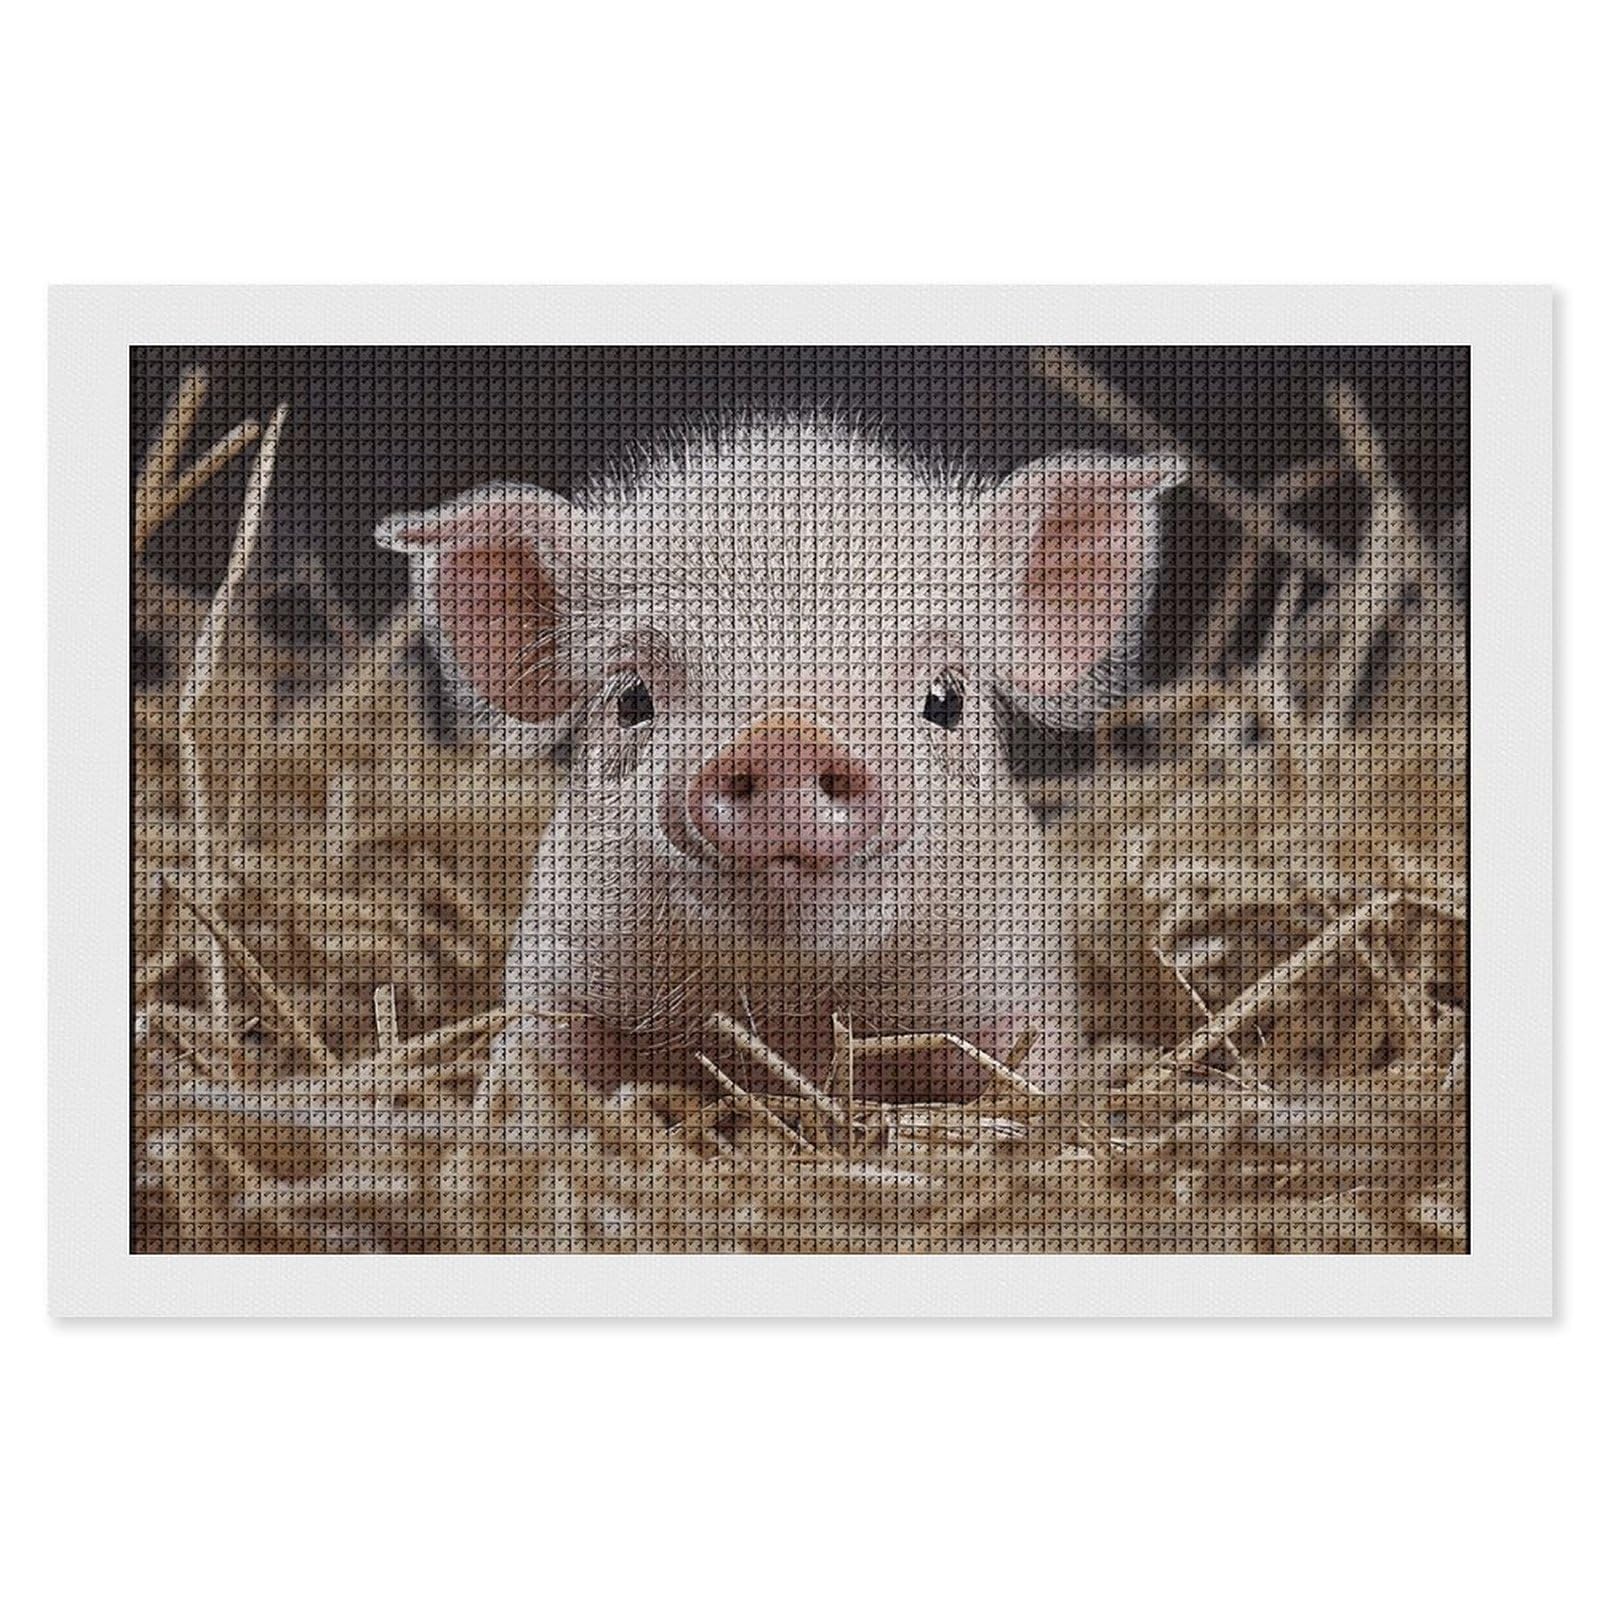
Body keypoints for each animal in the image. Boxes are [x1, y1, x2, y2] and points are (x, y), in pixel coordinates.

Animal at [377, 418, 1184, 1100]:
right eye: (631, 696)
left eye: (945, 697)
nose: (787, 737)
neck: (789, 1014)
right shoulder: (556, 979)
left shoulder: (1021, 989)